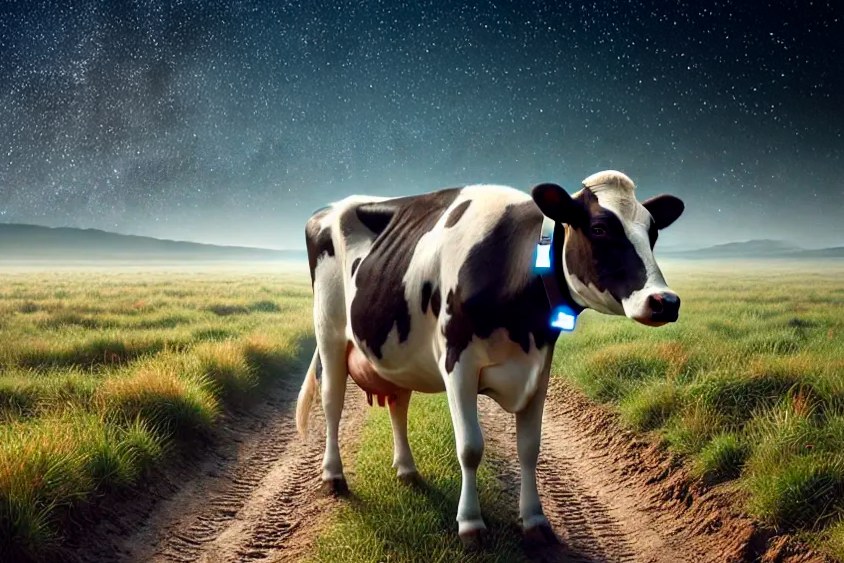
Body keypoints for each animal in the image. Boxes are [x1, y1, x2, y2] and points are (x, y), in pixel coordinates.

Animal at [295, 170, 684, 547]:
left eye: (652, 232)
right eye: (600, 228)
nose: (665, 301)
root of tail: (328, 209)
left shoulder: (538, 368)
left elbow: (529, 448)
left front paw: (535, 521)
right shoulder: (458, 363)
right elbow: (470, 447)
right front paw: (471, 525)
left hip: (393, 351)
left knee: (398, 404)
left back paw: (407, 471)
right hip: (328, 331)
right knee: (331, 403)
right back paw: (333, 476)